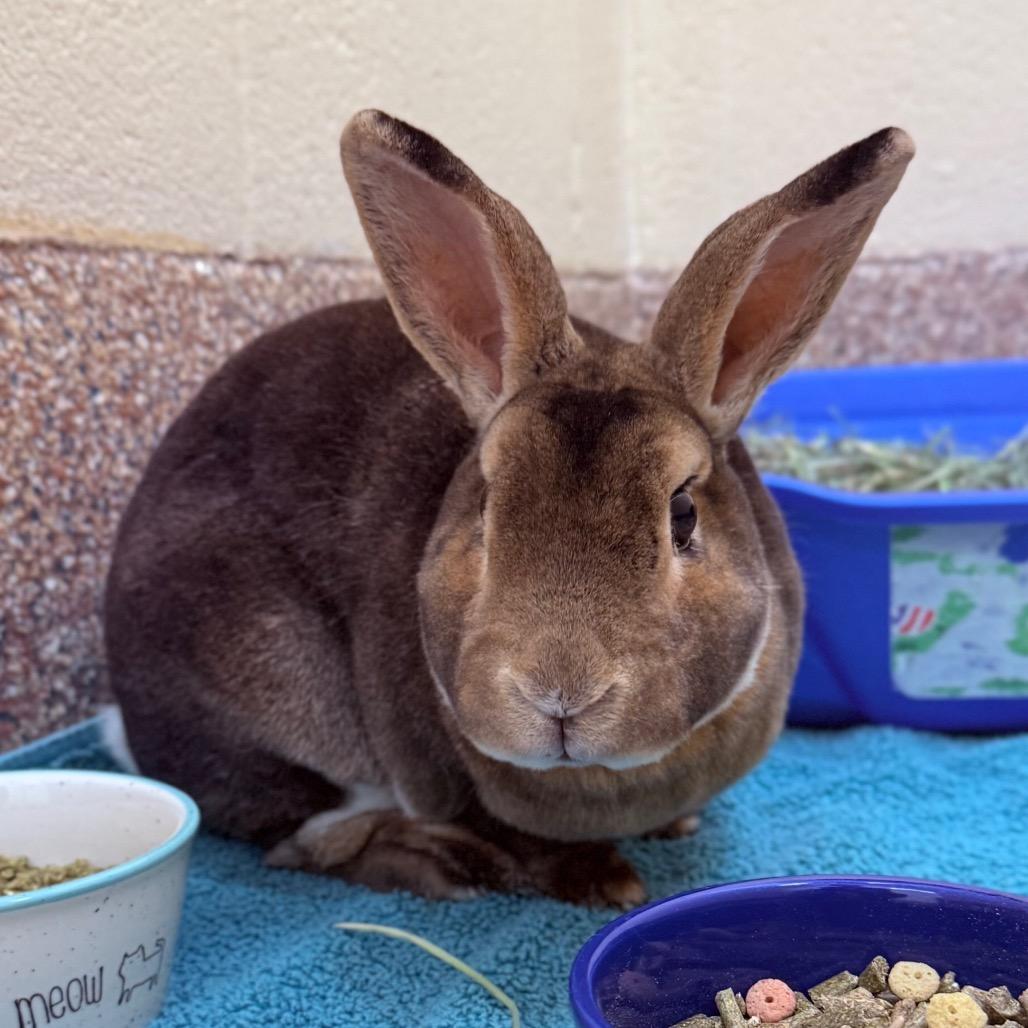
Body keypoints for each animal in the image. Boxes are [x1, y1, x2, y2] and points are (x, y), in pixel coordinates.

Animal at [105, 110, 913, 907]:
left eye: (682, 514)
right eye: (488, 506)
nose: (559, 698)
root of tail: (127, 718)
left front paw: (672, 828)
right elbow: (523, 841)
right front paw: (610, 884)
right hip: (270, 676)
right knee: (300, 834)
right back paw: (441, 865)